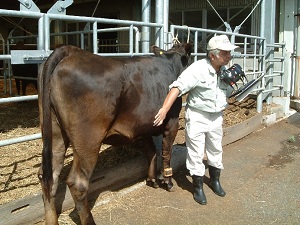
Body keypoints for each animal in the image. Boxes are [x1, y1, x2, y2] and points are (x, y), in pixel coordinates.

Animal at [38, 43, 192, 224]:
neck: (169, 63)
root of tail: (69, 50)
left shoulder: (144, 126)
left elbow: (151, 152)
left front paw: (151, 179)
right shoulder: (172, 122)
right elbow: (166, 153)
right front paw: (167, 182)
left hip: (54, 132)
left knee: (49, 176)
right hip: (88, 140)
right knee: (78, 182)